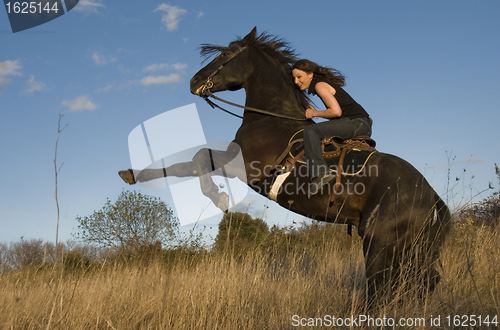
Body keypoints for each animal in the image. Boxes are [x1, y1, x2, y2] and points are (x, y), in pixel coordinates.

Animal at [119, 27, 452, 302]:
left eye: (225, 55)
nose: (194, 82)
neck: (270, 118)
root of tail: (430, 192)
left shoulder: (245, 166)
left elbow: (197, 160)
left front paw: (219, 197)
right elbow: (188, 163)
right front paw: (131, 174)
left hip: (380, 244)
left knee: (382, 289)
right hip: (410, 248)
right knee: (421, 283)